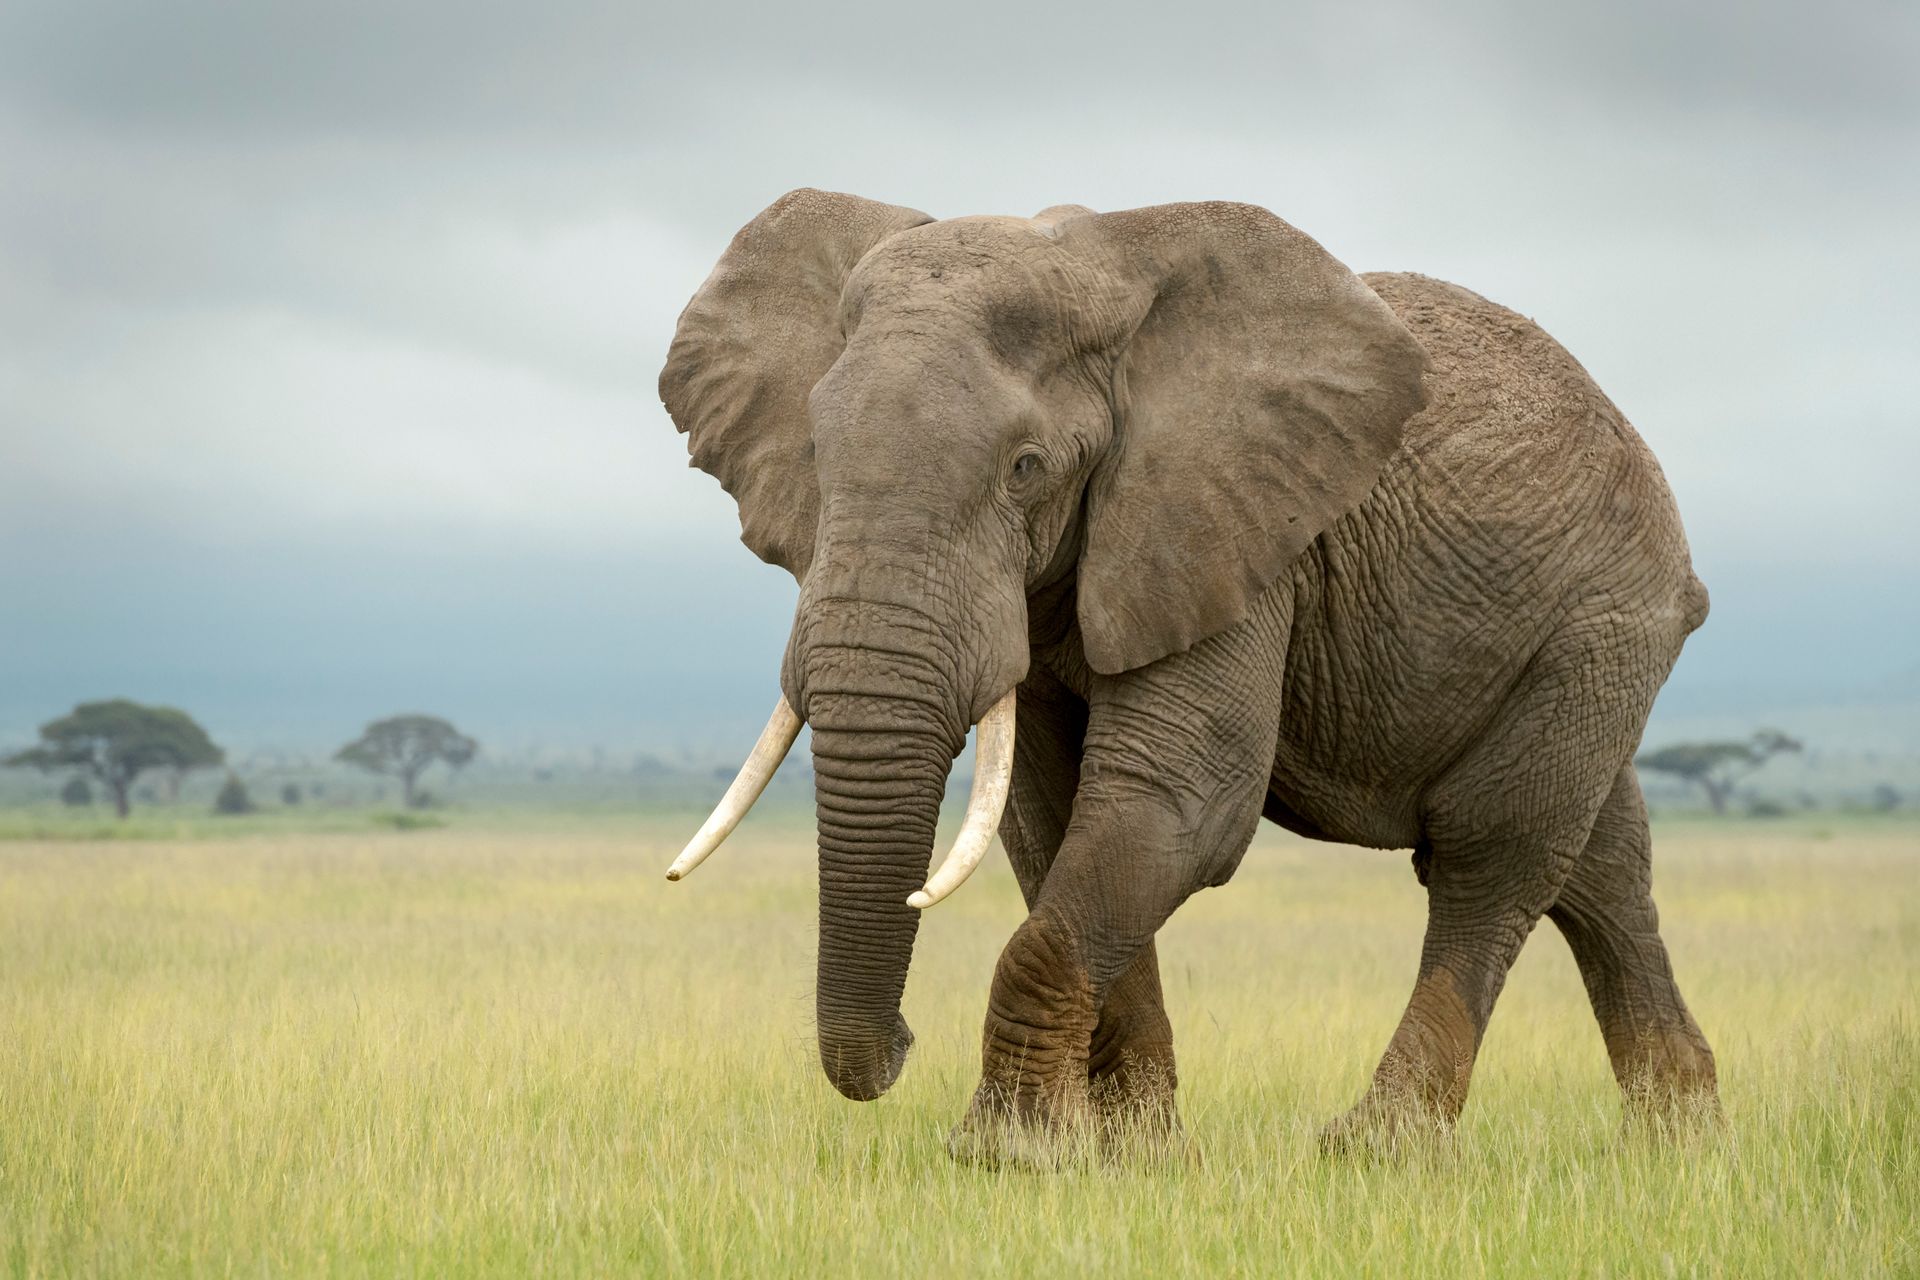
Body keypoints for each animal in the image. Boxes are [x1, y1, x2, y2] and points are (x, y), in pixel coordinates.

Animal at [660, 188, 1728, 1159]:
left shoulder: (1235, 531)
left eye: (1025, 468)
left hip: (1603, 621)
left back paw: (1375, 1150)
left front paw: (1009, 1155)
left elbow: (1179, 800)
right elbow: (1054, 818)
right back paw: (1680, 1146)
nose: (900, 1048)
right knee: (1599, 867)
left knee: (1494, 852)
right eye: (815, 454)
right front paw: (1136, 1154)